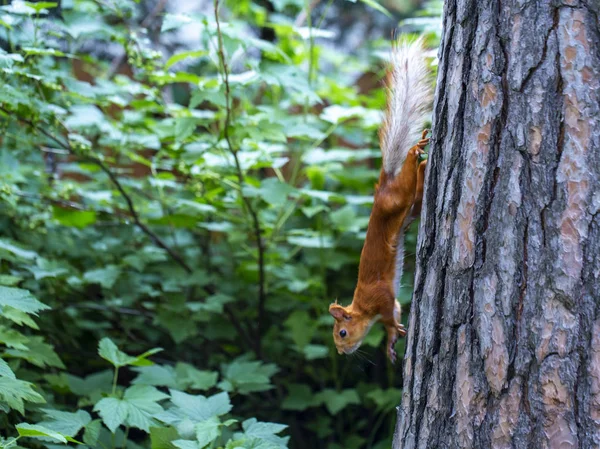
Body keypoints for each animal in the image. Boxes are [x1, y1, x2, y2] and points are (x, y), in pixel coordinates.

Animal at [328, 36, 432, 362]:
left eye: (342, 332)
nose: (341, 353)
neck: (363, 307)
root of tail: (383, 185)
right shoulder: (392, 301)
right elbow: (396, 310)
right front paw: (389, 342)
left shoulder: (380, 297)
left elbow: (388, 312)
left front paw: (391, 329)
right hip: (409, 206)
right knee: (418, 188)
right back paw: (423, 165)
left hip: (395, 199)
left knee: (409, 178)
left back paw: (414, 153)